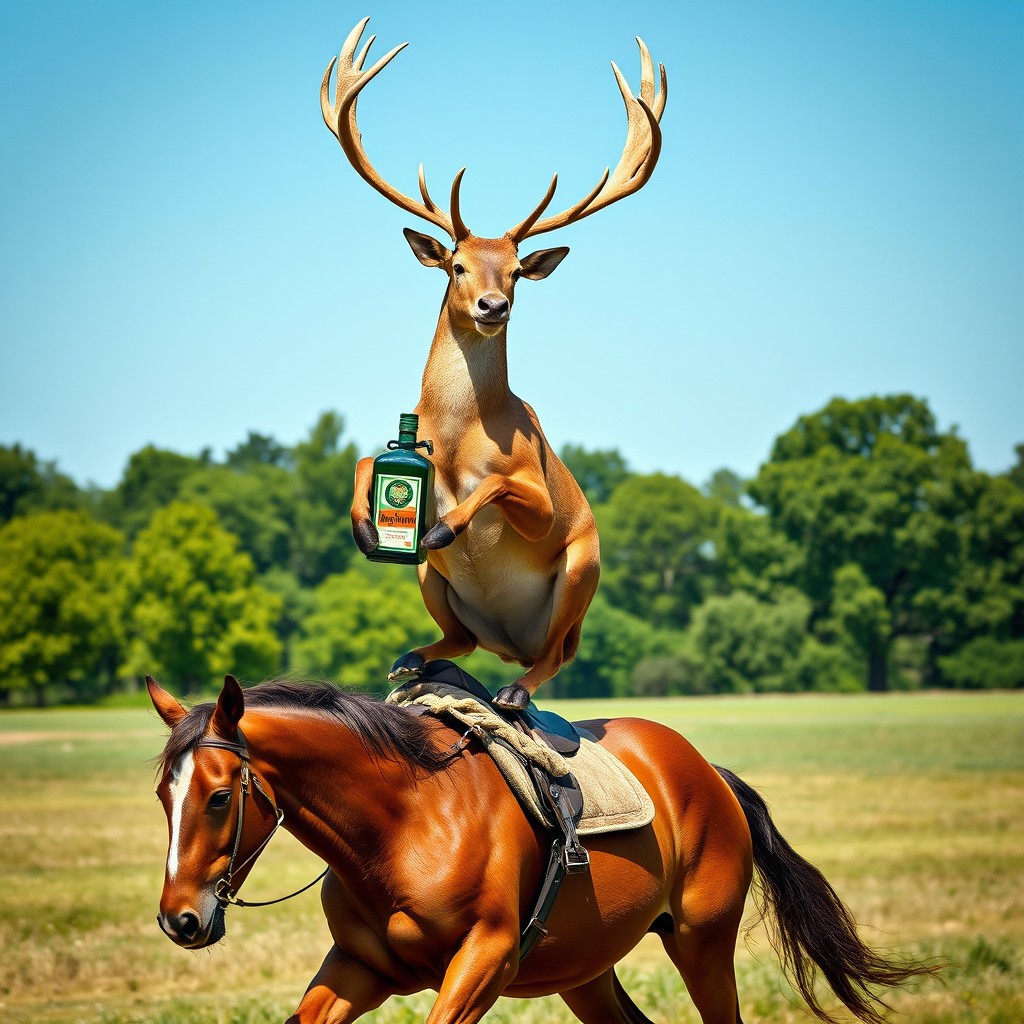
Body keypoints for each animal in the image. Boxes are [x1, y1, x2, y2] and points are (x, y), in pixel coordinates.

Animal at [147, 673, 932, 1024]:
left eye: (218, 797)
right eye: (162, 794)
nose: (178, 920)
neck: (398, 829)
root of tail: (707, 772)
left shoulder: (485, 961)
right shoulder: (359, 968)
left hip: (702, 943)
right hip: (585, 972)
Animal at [322, 18, 666, 710]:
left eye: (514, 272)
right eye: (457, 265)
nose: (493, 305)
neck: (456, 439)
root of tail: (512, 643)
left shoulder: (541, 499)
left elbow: (500, 484)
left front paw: (443, 527)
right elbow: (367, 459)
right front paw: (368, 530)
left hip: (583, 570)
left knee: (557, 655)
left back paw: (512, 691)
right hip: (431, 584)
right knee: (459, 640)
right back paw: (409, 659)